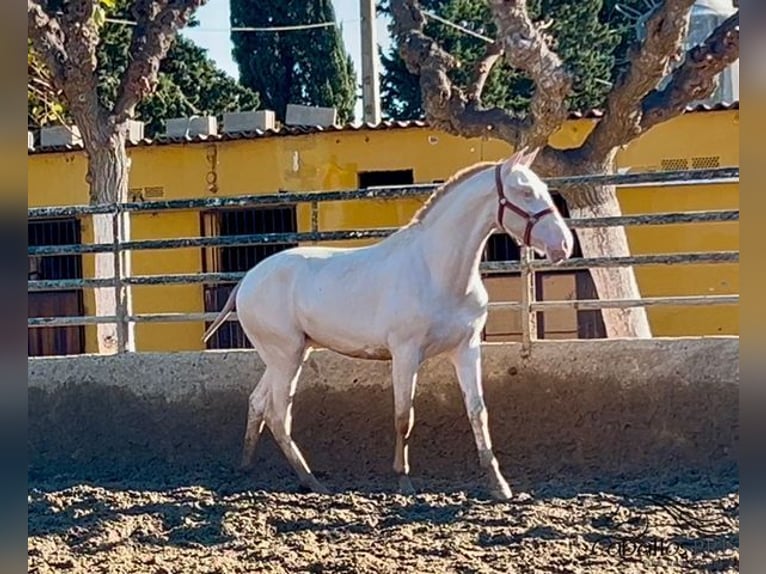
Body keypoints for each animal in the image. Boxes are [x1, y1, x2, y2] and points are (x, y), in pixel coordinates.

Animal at [204, 147, 576, 500]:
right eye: (524, 192)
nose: (564, 245)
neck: (437, 271)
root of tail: (247, 279)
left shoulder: (466, 349)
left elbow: (477, 412)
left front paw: (500, 486)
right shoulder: (405, 354)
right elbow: (403, 417)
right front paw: (403, 481)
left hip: (288, 355)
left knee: (258, 403)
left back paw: (247, 470)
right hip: (286, 357)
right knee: (279, 415)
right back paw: (313, 482)